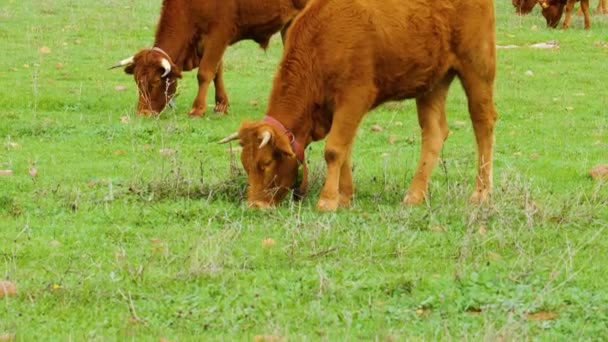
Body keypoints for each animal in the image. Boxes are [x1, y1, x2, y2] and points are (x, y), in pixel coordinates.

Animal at [111, 0, 308, 116]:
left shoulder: (218, 35)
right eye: (137, 82)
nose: (143, 112)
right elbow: (217, 72)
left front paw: (198, 108)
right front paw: (221, 104)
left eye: (155, 82)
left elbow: (205, 73)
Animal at [221, 0, 496, 211]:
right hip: (433, 83)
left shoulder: (354, 98)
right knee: (434, 133)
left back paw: (481, 193)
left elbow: (334, 149)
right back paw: (415, 195)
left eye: (266, 163)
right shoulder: (339, 110)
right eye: (245, 164)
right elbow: (345, 150)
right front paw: (344, 196)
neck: (322, 41)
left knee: (483, 123)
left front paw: (327, 200)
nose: (255, 205)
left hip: (478, 66)